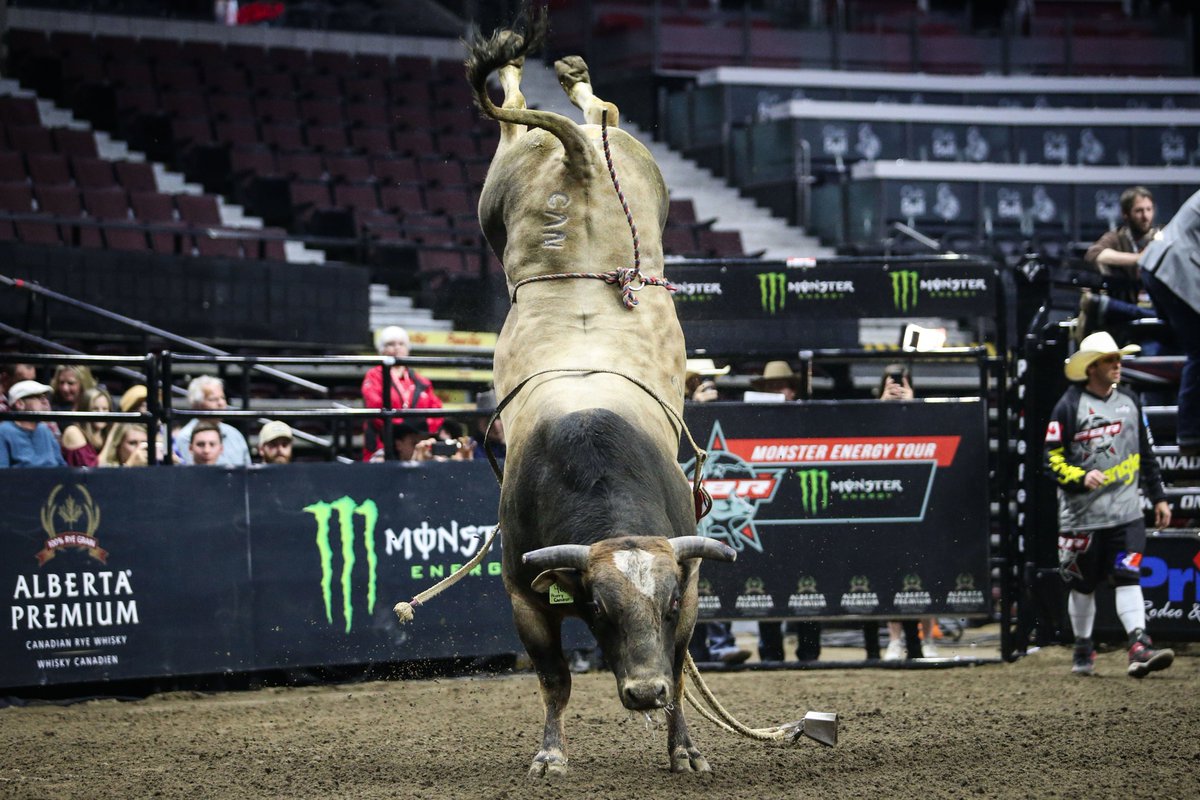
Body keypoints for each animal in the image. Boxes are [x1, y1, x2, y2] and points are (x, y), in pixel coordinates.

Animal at [465, 12, 737, 777]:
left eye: (666, 601)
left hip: (578, 169)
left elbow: (681, 666)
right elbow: (555, 678)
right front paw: (551, 755)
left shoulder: (690, 588)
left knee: (594, 116)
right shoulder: (524, 596)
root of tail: (580, 164)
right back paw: (547, 75)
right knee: (572, 117)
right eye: (603, 609)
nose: (641, 692)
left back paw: (564, 78)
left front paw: (686, 749)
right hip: (500, 197)